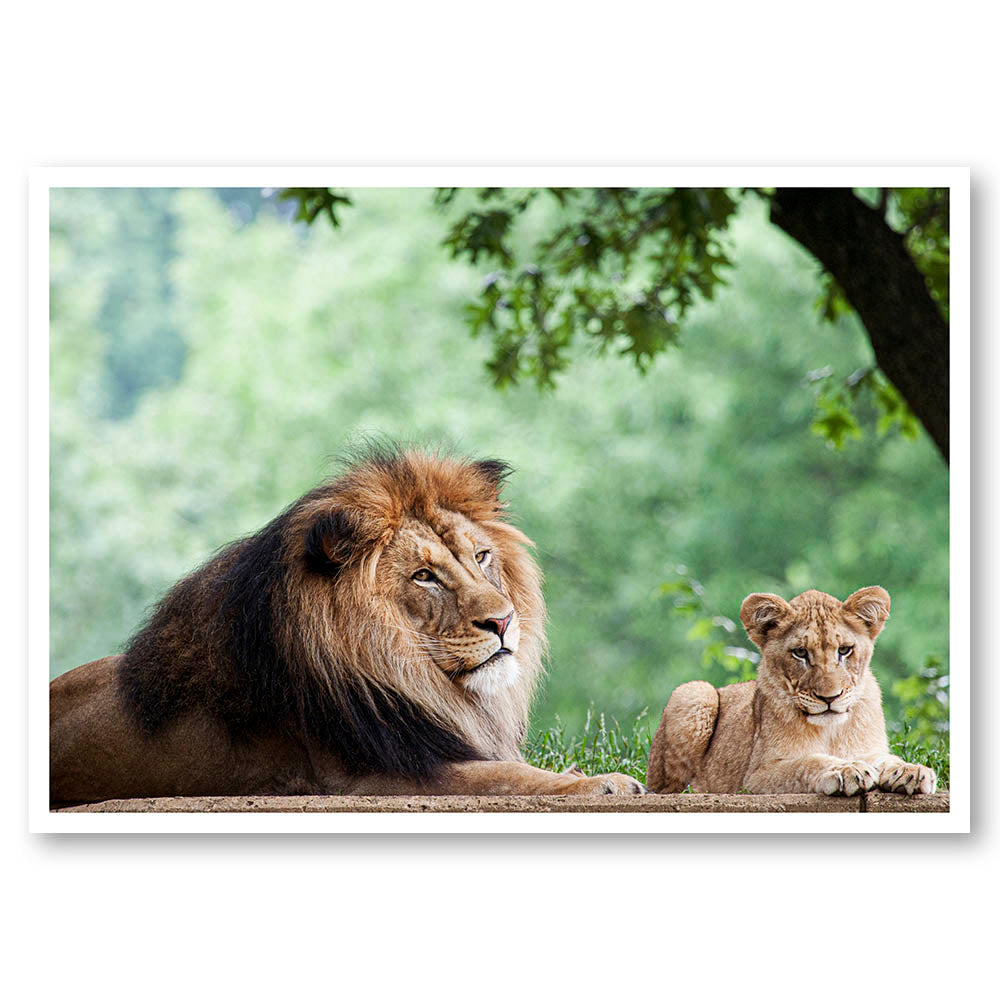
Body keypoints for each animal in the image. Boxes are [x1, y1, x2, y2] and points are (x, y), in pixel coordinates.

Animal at [50, 446, 646, 805]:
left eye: (480, 557)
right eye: (424, 576)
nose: (502, 621)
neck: (412, 675)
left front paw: (580, 777)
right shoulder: (375, 774)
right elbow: (507, 775)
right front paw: (606, 783)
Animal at [646, 587, 937, 796]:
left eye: (844, 651)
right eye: (800, 653)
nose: (830, 698)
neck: (831, 731)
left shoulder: (870, 749)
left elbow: (886, 759)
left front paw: (910, 771)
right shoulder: (755, 777)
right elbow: (807, 763)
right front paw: (845, 769)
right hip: (695, 691)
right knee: (669, 788)